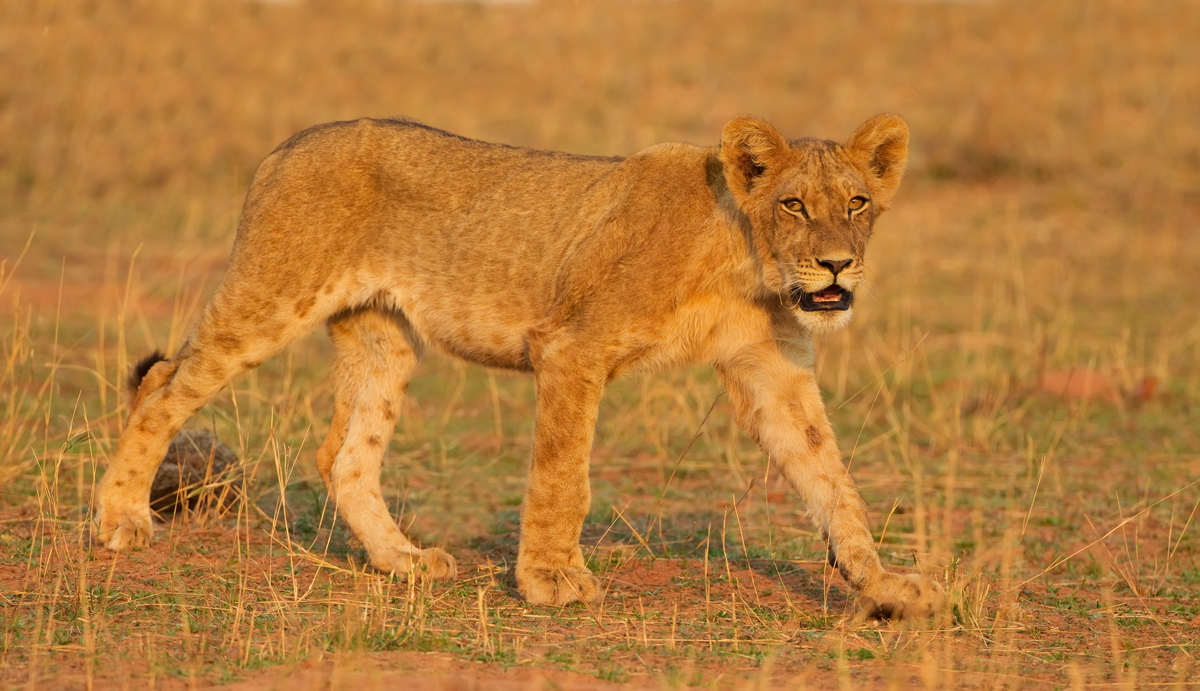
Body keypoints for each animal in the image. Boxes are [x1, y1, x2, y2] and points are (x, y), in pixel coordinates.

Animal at [96, 114, 944, 620]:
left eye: (858, 203)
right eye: (796, 204)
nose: (836, 265)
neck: (750, 263)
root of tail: (290, 142)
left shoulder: (776, 371)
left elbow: (833, 481)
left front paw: (886, 585)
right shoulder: (573, 346)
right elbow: (564, 473)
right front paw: (549, 580)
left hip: (383, 337)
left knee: (344, 455)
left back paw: (403, 561)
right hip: (271, 295)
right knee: (163, 388)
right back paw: (120, 518)